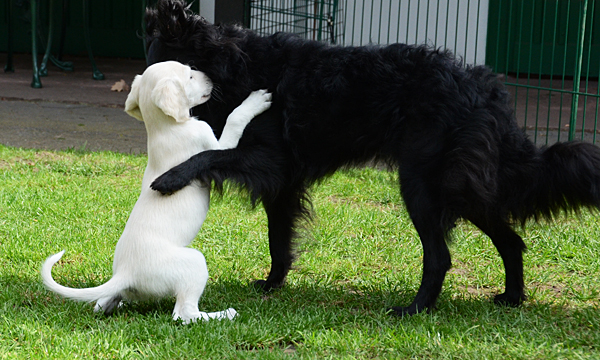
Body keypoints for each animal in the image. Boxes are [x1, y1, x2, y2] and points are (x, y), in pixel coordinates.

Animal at [38, 60, 270, 324]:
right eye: (190, 76)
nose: (212, 78)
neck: (165, 128)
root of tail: (126, 273)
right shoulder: (213, 144)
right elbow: (233, 120)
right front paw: (256, 100)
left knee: (103, 304)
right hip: (194, 264)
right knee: (184, 314)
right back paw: (223, 314)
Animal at [146, 0, 600, 316]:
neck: (237, 64)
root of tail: (485, 88)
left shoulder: (270, 161)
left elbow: (208, 157)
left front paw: (169, 179)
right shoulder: (285, 181)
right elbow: (279, 238)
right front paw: (274, 283)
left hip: (424, 184)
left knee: (441, 255)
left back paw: (415, 309)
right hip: (461, 186)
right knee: (511, 240)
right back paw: (512, 296)